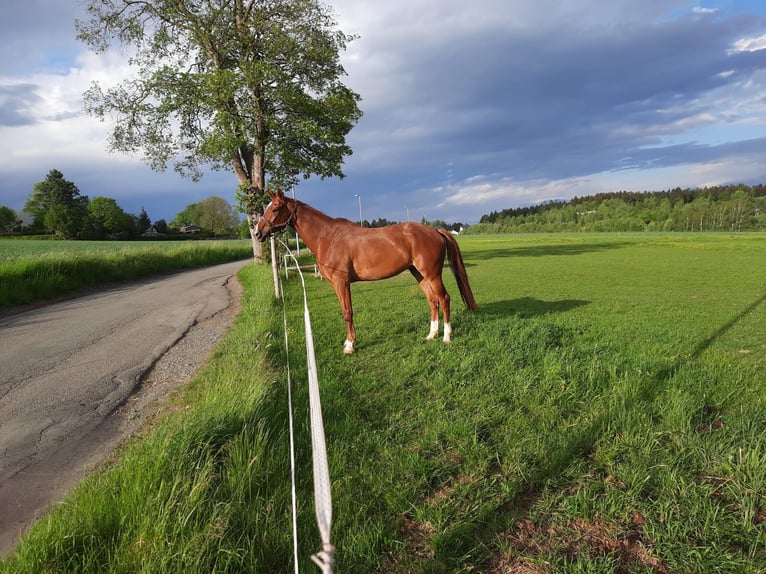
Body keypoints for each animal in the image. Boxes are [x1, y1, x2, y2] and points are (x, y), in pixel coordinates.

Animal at [255, 189, 478, 353]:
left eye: (275, 208)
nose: (257, 233)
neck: (328, 237)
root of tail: (434, 231)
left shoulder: (341, 282)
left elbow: (347, 312)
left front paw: (350, 345)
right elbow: (345, 311)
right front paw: (349, 342)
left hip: (432, 274)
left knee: (444, 298)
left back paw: (447, 337)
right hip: (419, 275)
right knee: (433, 301)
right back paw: (432, 335)